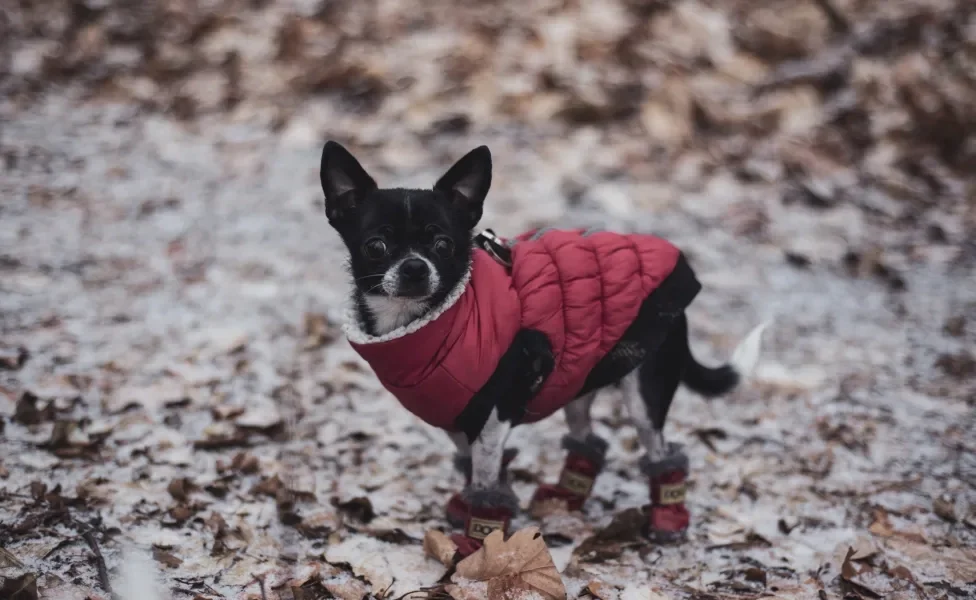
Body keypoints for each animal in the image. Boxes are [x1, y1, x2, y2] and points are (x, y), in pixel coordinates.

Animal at [320, 139, 772, 552]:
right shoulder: (456, 414)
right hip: (579, 380)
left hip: (645, 391)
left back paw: (668, 518)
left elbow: (486, 477)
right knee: (587, 439)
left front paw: (475, 542)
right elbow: (477, 467)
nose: (415, 267)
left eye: (443, 244)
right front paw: (468, 512)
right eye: (376, 246)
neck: (432, 322)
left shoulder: (493, 413)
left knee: (659, 449)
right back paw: (566, 498)